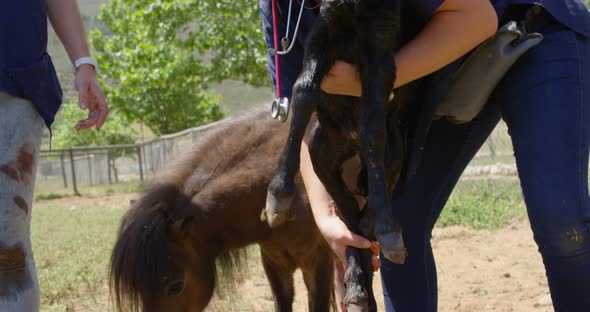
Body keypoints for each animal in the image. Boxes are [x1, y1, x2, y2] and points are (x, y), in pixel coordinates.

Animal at [266, 1, 414, 310]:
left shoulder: (381, 50)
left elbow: (372, 125)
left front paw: (388, 228)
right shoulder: (322, 36)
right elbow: (303, 91)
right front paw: (278, 194)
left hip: (395, 155)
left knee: (366, 219)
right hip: (320, 152)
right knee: (349, 213)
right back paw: (357, 287)